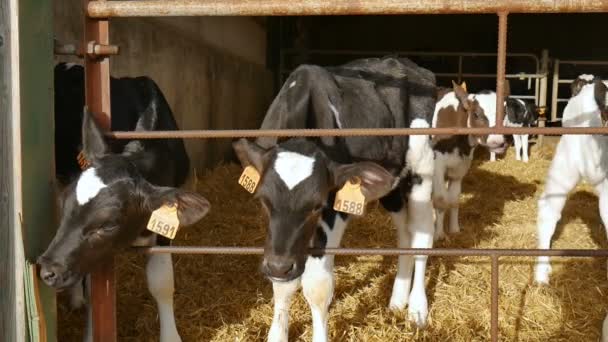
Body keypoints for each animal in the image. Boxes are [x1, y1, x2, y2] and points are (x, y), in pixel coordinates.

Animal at [38, 62, 209, 340]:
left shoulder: (164, 223)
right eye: (66, 206)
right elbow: (95, 292)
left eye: (109, 224)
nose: (48, 271)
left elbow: (162, 282)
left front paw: (170, 335)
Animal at [233, 57, 436, 340]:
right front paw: (277, 333)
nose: (278, 267)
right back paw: (397, 300)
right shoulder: (280, 245)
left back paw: (417, 309)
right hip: (391, 182)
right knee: (404, 234)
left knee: (421, 236)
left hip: (422, 171)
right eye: (263, 201)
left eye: (317, 205)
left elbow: (317, 285)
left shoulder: (334, 208)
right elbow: (283, 285)